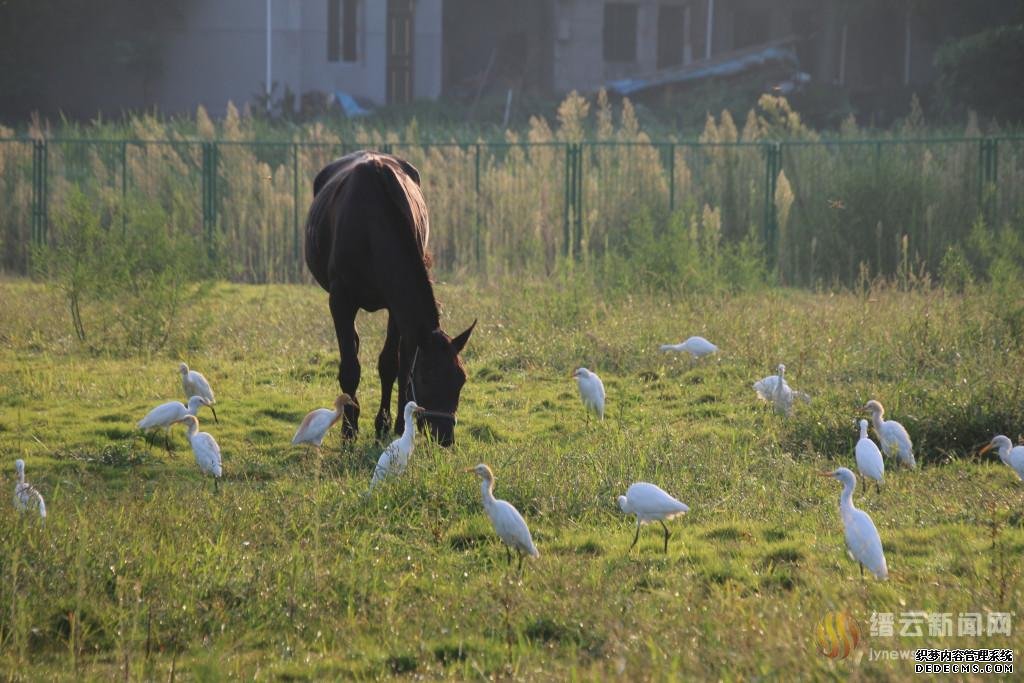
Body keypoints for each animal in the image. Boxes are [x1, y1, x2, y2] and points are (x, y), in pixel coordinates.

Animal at [301, 151, 473, 446]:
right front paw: (349, 431)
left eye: (460, 380)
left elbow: (393, 364)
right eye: (427, 379)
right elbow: (351, 367)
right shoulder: (340, 300)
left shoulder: (396, 306)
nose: (445, 436)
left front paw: (389, 424)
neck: (371, 226)